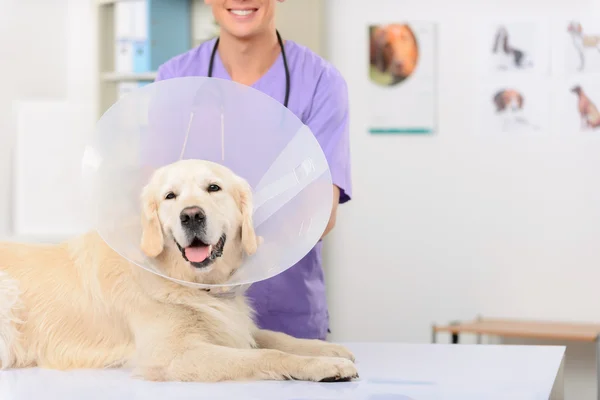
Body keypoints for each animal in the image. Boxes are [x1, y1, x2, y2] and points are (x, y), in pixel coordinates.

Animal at [0, 158, 358, 382]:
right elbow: (264, 355)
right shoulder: (174, 354)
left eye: (213, 188)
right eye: (170, 196)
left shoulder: (230, 325)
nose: (191, 215)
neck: (190, 283)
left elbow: (275, 336)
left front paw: (328, 349)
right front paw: (325, 365)